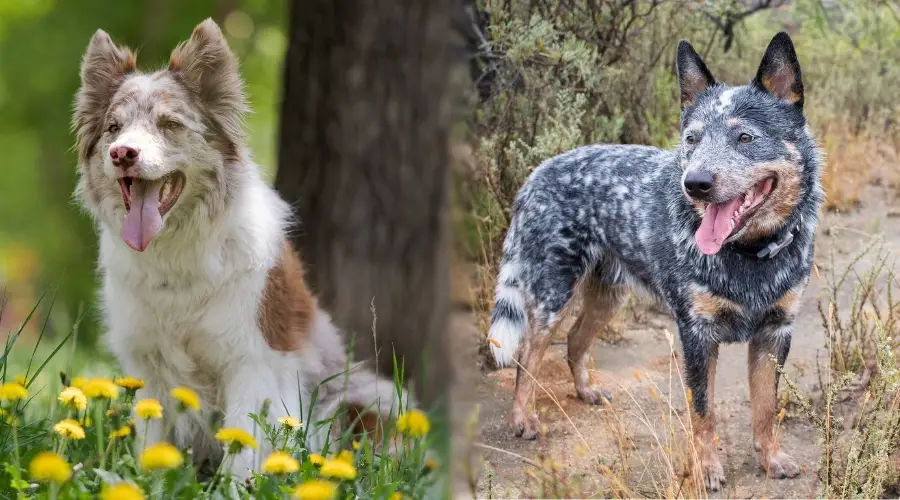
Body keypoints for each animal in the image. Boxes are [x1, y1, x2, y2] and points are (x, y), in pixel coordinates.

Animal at [72, 19, 410, 478]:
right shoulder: (147, 367)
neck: (175, 255)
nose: (122, 153)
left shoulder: (254, 362)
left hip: (362, 397)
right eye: (112, 128)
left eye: (170, 124)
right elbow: (151, 448)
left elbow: (243, 451)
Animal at [486, 32, 824, 488]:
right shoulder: (696, 335)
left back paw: (586, 391)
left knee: (575, 342)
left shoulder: (775, 332)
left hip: (608, 296)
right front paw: (707, 468)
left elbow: (767, 409)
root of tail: (537, 172)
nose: (695, 183)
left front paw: (772, 459)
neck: (750, 255)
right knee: (528, 357)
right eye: (692, 139)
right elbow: (703, 412)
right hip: (551, 293)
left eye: (745, 138)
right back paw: (524, 418)